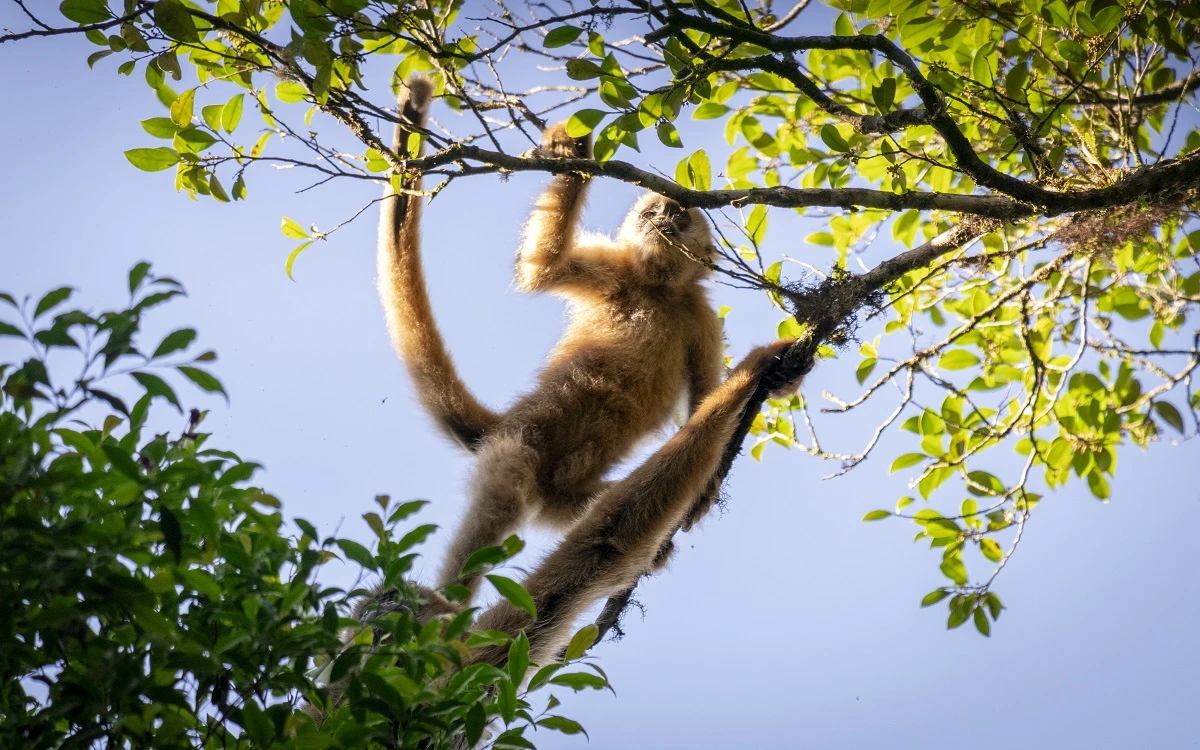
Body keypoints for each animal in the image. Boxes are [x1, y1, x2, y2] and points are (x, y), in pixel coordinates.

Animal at [379, 76, 724, 600]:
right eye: (651, 213)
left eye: (679, 217)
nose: (662, 221)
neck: (657, 290)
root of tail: (506, 422)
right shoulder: (615, 270)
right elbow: (541, 267)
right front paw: (572, 150)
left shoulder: (699, 316)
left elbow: (705, 391)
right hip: (523, 442)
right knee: (511, 476)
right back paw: (441, 607)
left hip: (563, 502)